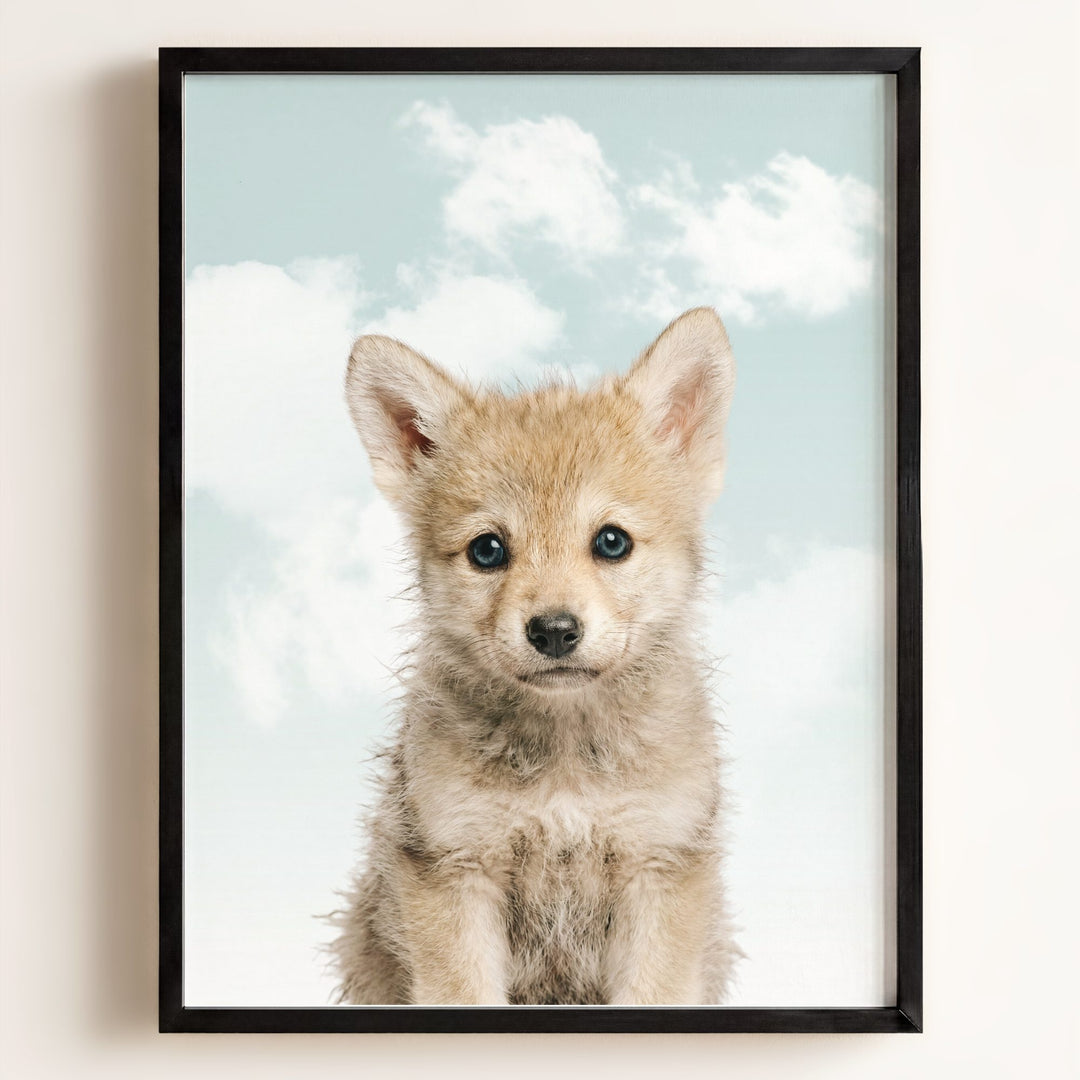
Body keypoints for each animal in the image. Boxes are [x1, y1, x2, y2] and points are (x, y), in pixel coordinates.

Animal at [330, 307, 739, 1005]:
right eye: (487, 550)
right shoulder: (455, 870)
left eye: (611, 541)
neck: (565, 766)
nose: (553, 631)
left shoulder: (659, 867)